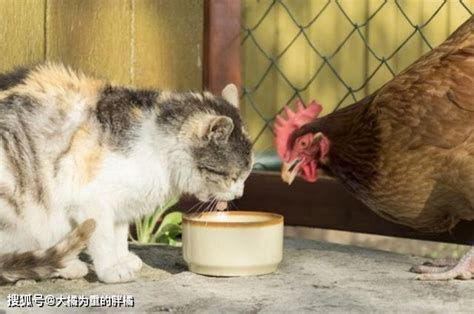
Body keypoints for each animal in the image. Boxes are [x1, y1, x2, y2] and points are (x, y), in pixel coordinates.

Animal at [0, 62, 254, 284]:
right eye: (232, 176)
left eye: (247, 174)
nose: (240, 194)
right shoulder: (91, 200)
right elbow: (102, 236)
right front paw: (111, 270)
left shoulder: (122, 203)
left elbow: (118, 234)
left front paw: (121, 259)